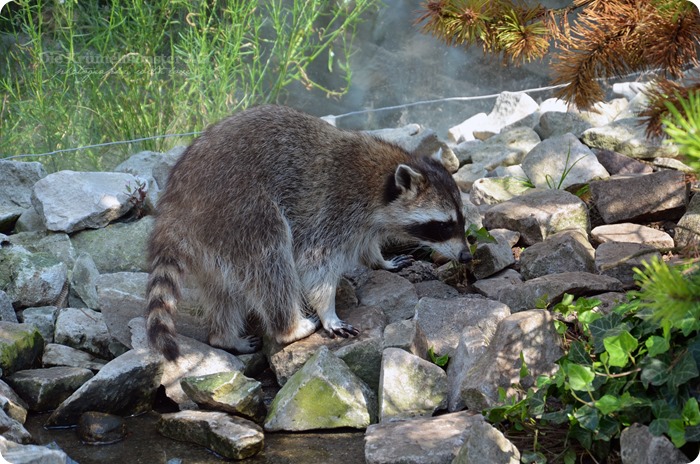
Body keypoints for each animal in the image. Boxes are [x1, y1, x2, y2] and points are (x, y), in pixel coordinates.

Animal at [148, 105, 474, 362]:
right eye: (444, 225)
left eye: (461, 221)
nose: (466, 256)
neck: (381, 177)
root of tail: (174, 206)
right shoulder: (334, 207)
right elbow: (315, 264)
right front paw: (328, 310)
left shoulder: (362, 221)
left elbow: (366, 243)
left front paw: (379, 259)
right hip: (238, 211)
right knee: (271, 260)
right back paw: (289, 327)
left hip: (212, 241)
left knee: (223, 291)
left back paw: (224, 336)